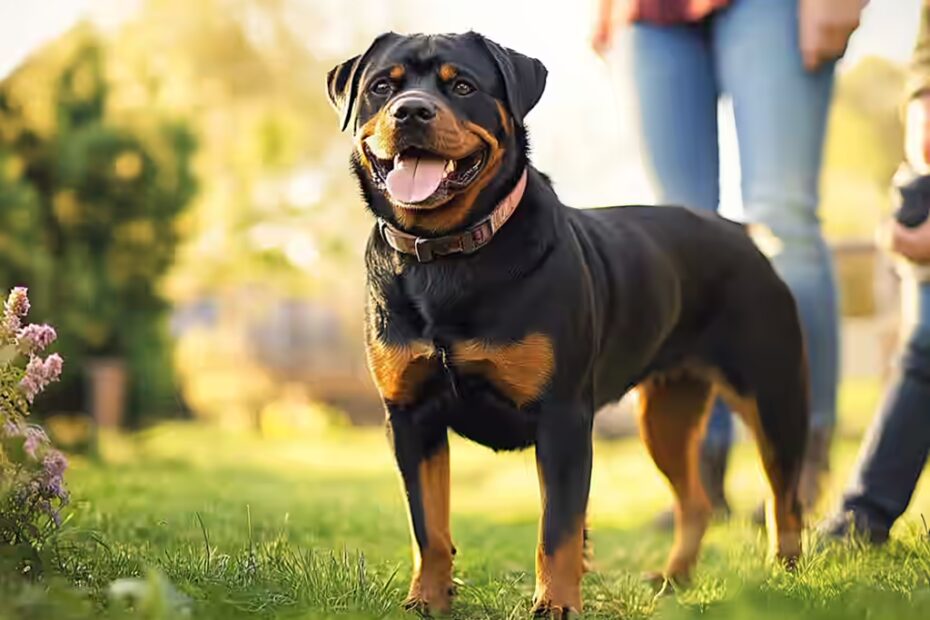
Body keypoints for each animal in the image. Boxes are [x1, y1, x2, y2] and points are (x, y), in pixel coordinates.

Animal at [330, 32, 808, 616]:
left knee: (783, 496)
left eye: (461, 86)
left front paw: (556, 603)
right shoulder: (411, 417)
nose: (412, 111)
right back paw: (675, 580)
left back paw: (783, 582)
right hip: (666, 414)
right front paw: (427, 600)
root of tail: (741, 233)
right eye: (382, 86)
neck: (446, 255)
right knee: (694, 501)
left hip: (773, 395)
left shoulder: (562, 417)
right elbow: (429, 526)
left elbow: (556, 529)